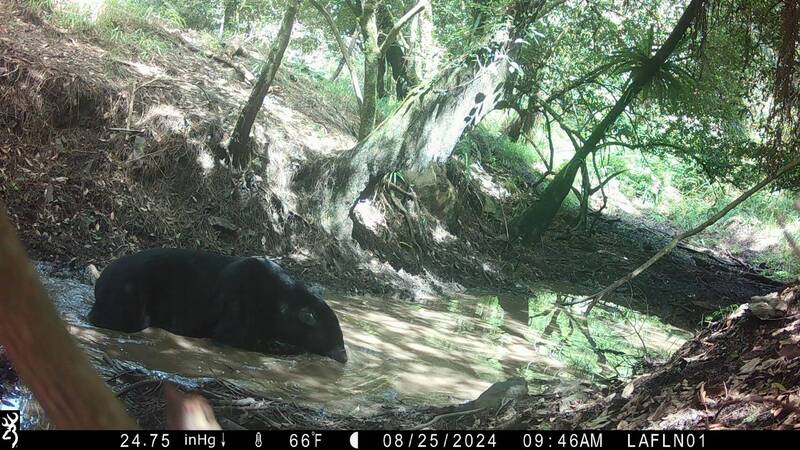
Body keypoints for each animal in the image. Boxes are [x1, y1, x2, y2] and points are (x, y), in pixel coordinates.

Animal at [90, 248, 346, 364]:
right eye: (333, 336)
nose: (344, 355)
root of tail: (101, 278)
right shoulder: (240, 303)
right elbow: (235, 337)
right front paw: (286, 346)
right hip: (129, 296)